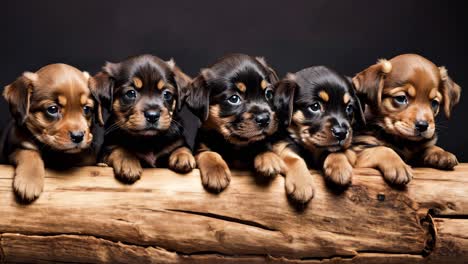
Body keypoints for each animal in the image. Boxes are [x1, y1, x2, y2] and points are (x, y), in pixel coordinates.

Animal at [1, 64, 98, 202]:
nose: (78, 136)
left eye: (87, 109)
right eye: (52, 109)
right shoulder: (16, 146)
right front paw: (29, 180)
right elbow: (29, 152)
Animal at [90, 54, 195, 183]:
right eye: (130, 93)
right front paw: (128, 161)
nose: (152, 115)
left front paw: (183, 156)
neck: (148, 140)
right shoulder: (106, 151)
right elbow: (119, 149)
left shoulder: (177, 142)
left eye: (167, 94)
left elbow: (181, 147)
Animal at [186, 53, 282, 193]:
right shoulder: (199, 148)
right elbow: (208, 153)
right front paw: (216, 171)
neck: (235, 146)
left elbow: (261, 143)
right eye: (234, 99)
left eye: (268, 94)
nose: (264, 119)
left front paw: (269, 157)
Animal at [274, 66, 366, 202]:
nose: (341, 133)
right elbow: (293, 158)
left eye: (349, 108)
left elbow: (336, 150)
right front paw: (301, 183)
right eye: (315, 106)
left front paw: (339, 167)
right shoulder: (282, 142)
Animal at [352, 54, 460, 184]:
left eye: (434, 103)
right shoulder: (357, 149)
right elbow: (382, 149)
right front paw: (398, 165)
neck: (402, 141)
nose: (423, 126)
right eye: (401, 98)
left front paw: (441, 152)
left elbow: (428, 147)